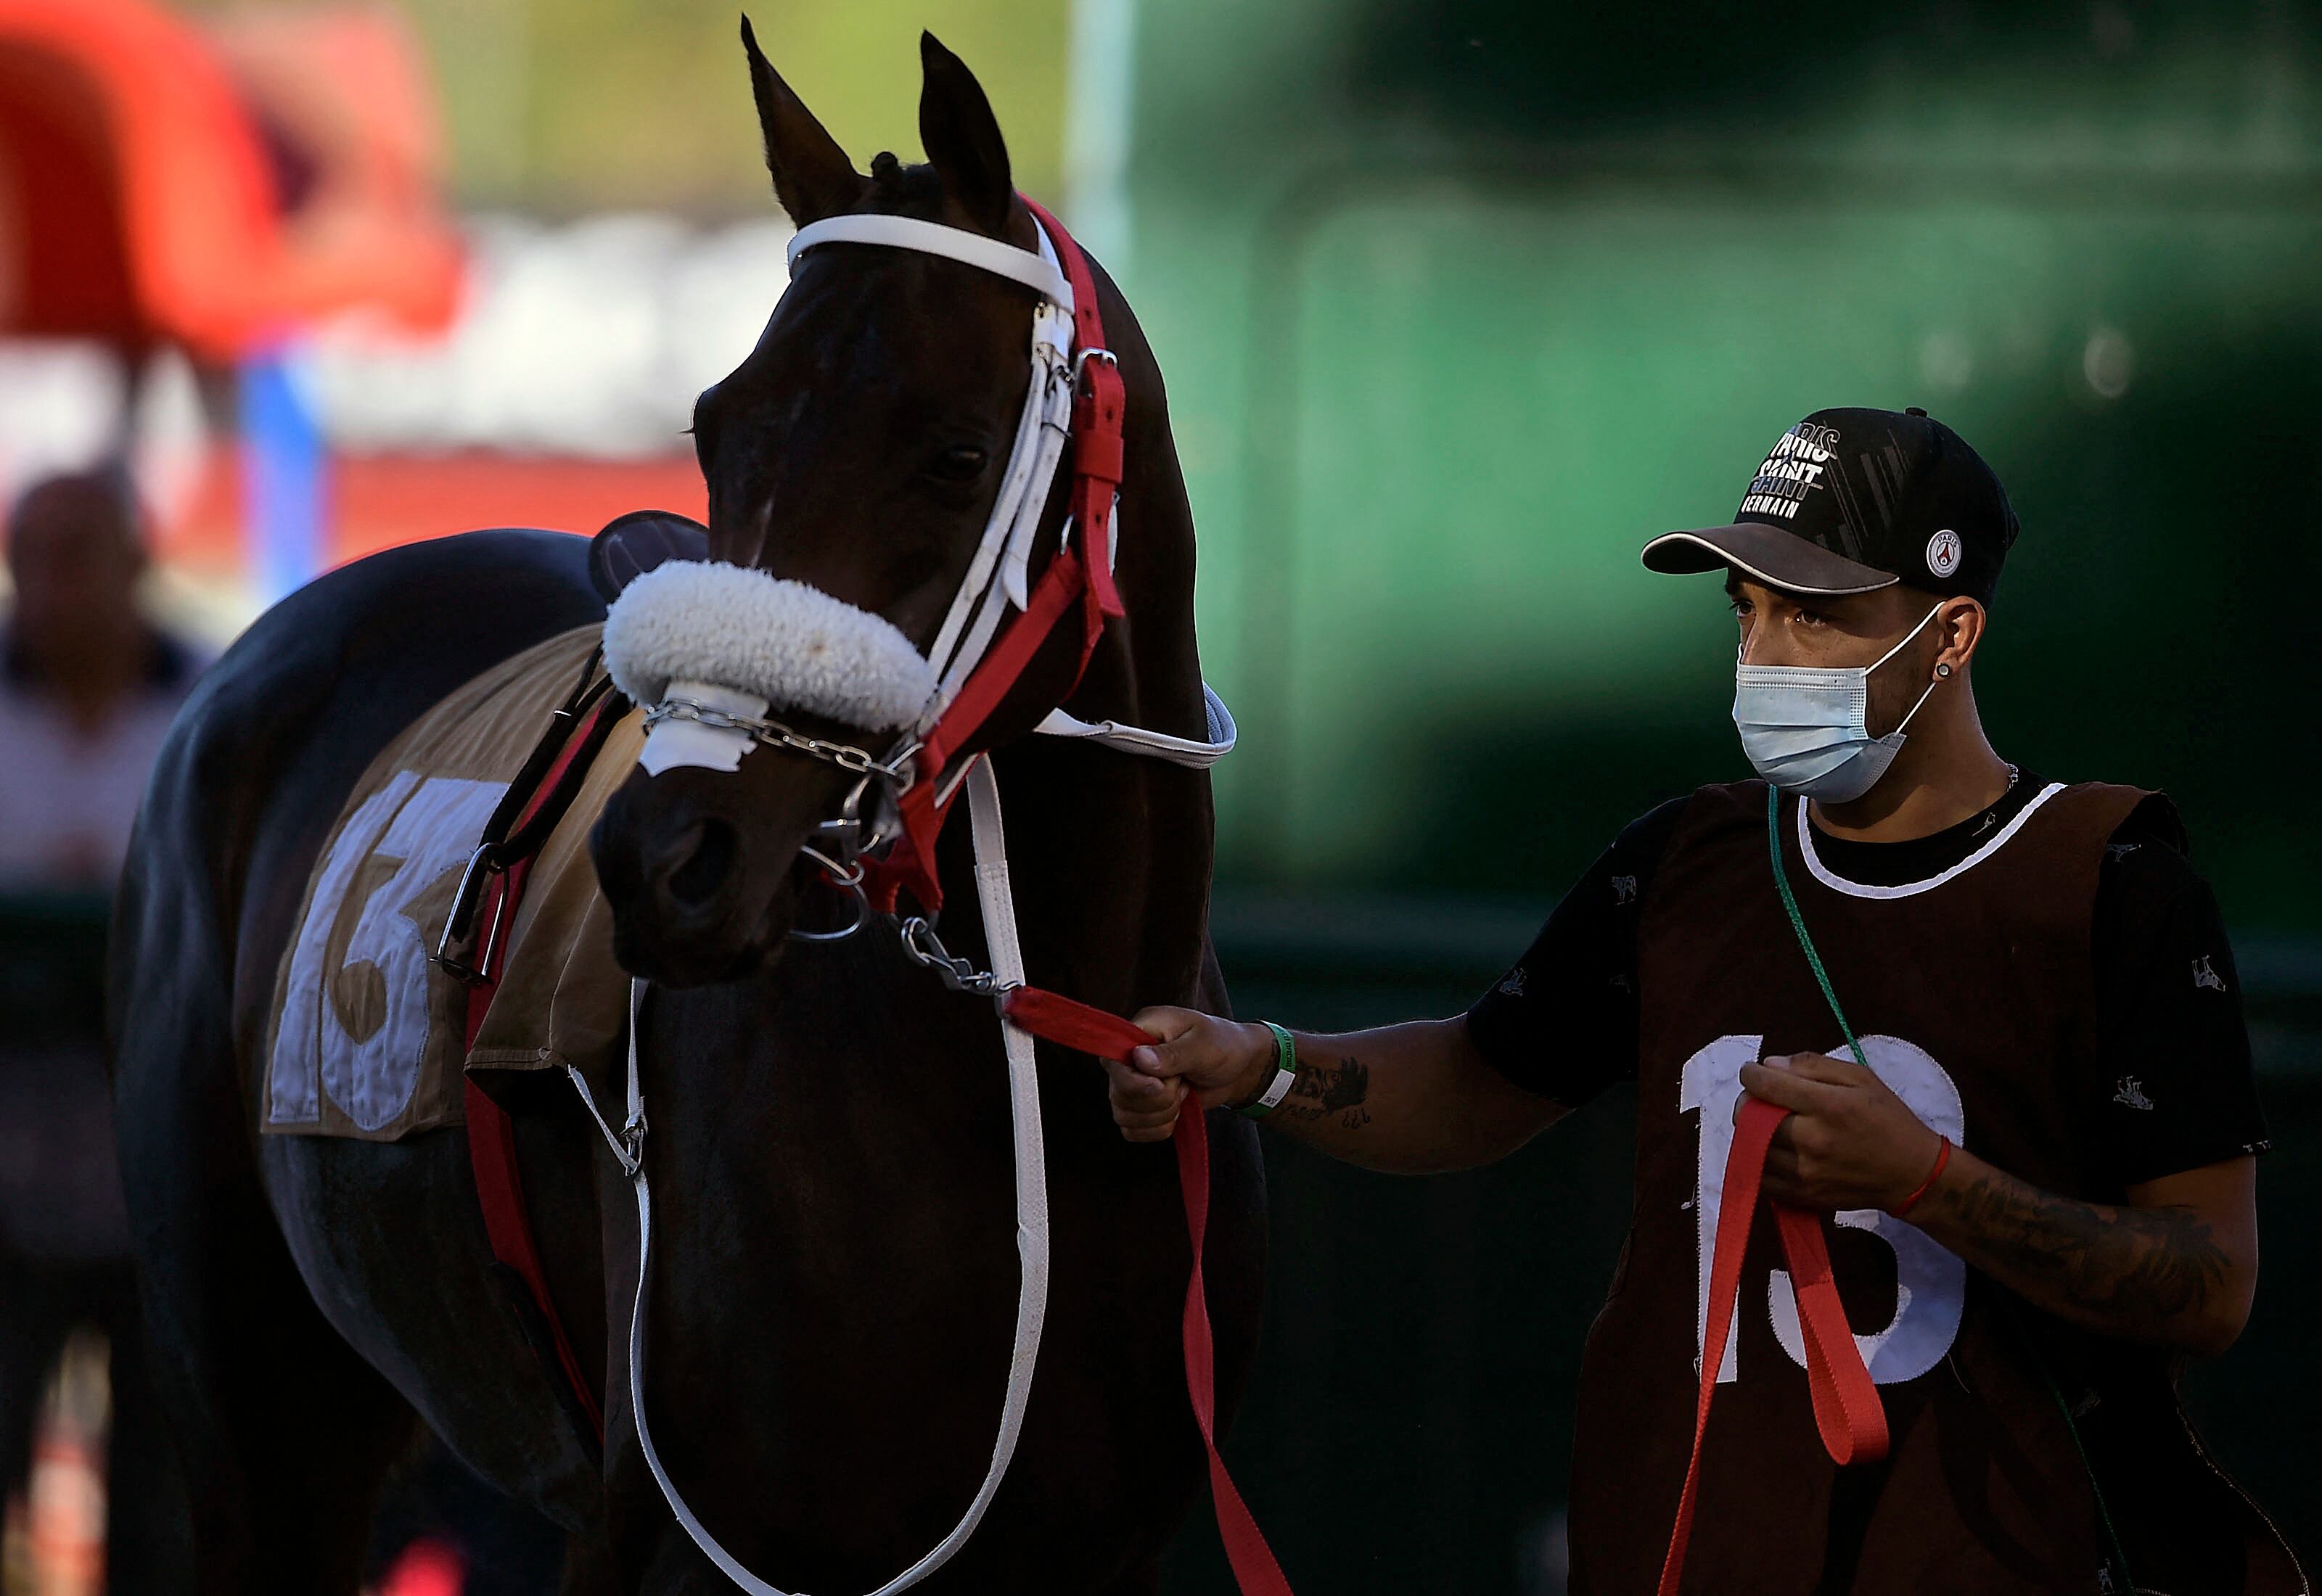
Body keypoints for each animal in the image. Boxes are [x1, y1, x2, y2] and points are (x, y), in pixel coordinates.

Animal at [108, 27, 1267, 1593]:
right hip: (259, 1432)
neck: (1041, 1087)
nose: (667, 862)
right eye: (717, 426)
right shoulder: (681, 1534)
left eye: (958, 454)